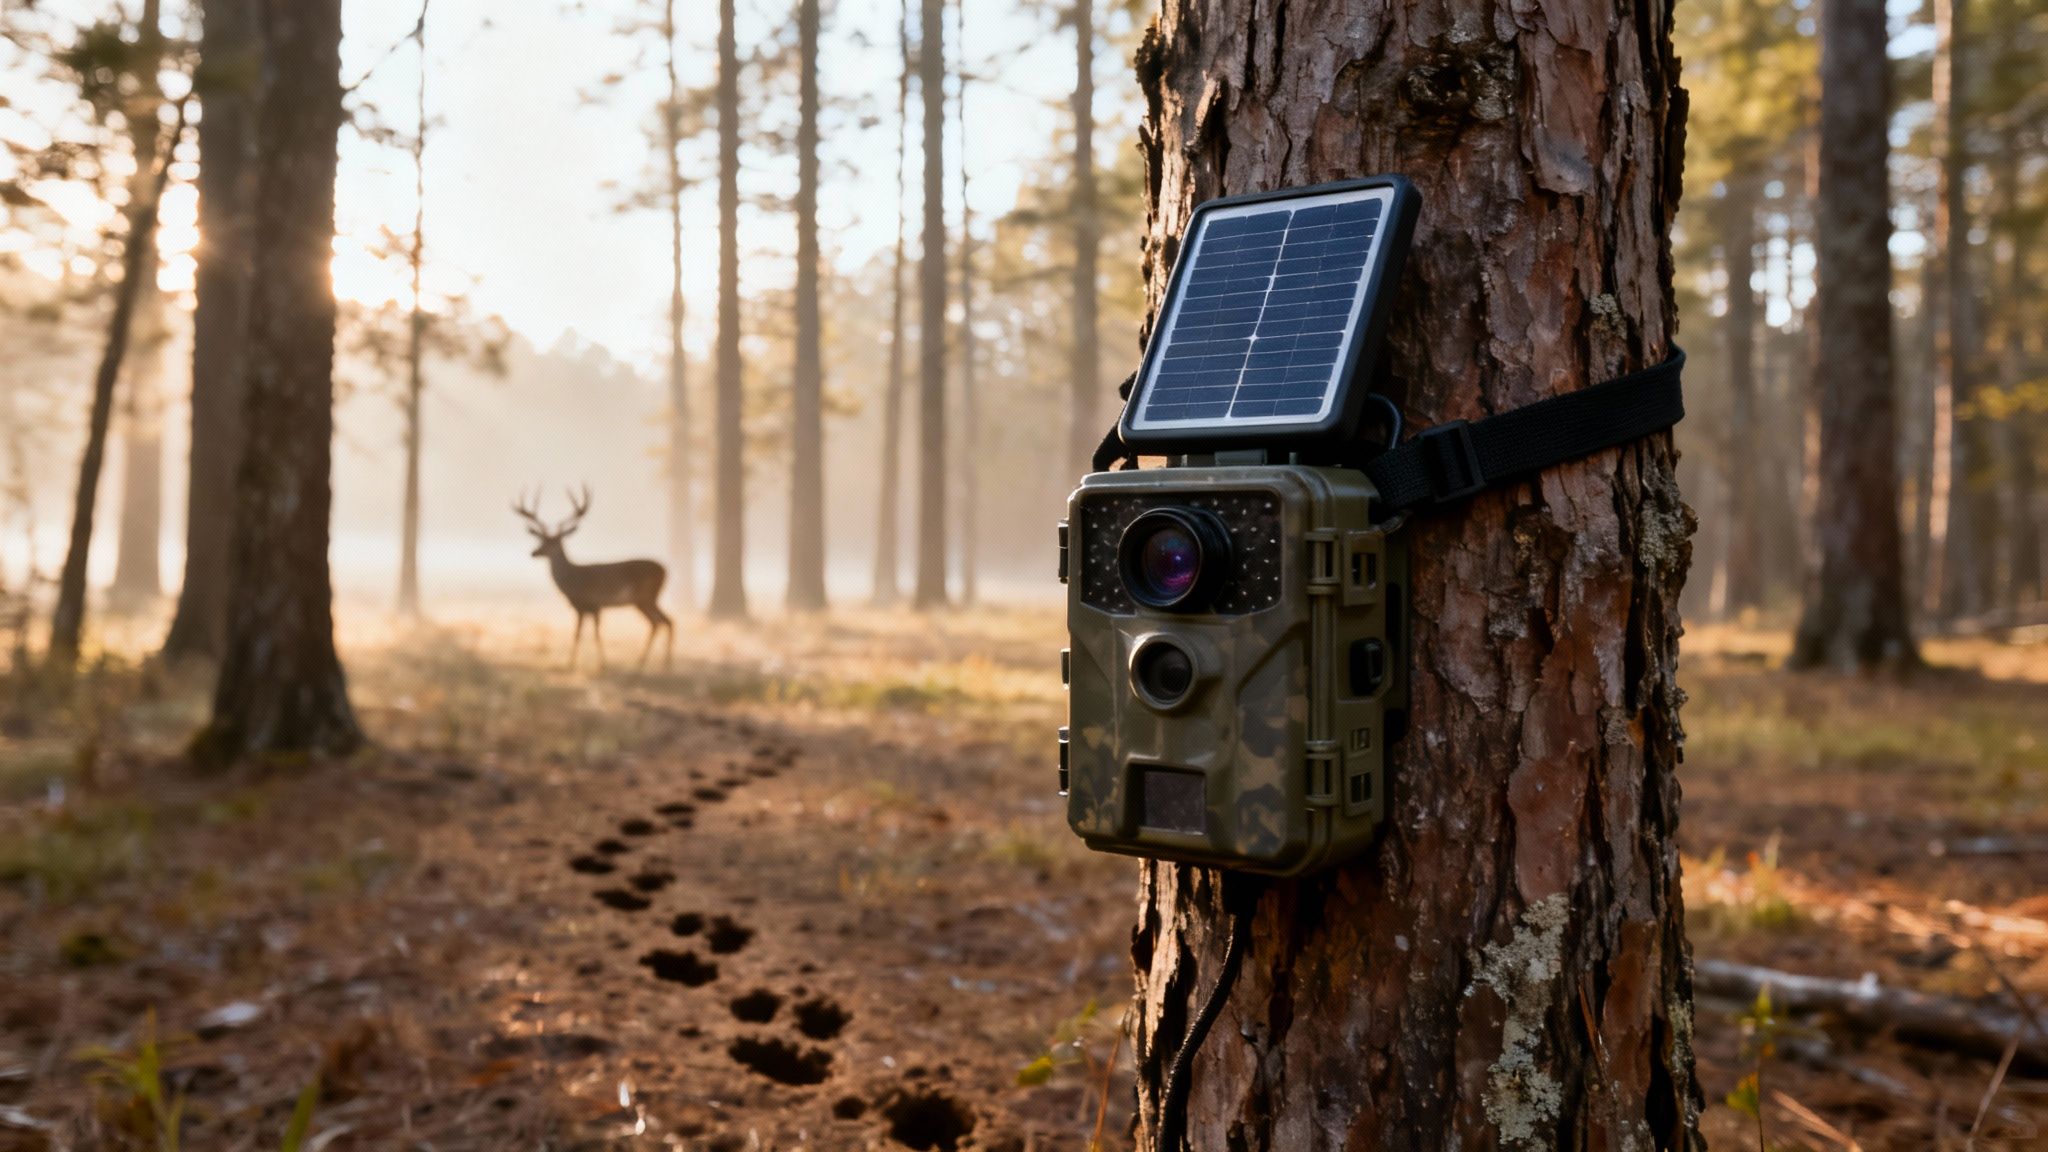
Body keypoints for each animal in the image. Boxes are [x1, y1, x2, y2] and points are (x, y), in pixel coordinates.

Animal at [514, 487, 674, 672]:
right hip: (646, 600)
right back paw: (662, 665)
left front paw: (590, 664)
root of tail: (664, 570)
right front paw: (591, 663)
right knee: (666, 621)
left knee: (660, 622)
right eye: (541, 539)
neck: (572, 580)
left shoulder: (591, 604)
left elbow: (585, 634)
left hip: (645, 597)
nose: (534, 552)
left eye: (554, 541)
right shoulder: (588, 607)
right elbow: (585, 634)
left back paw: (646, 664)